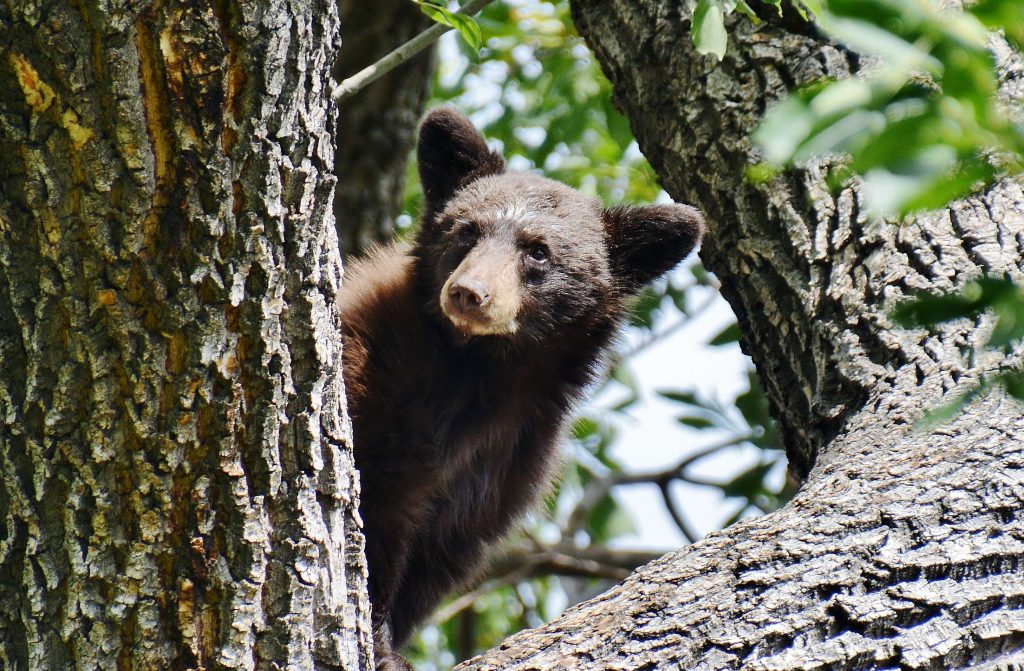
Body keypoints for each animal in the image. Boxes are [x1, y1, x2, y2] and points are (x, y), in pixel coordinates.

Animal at [339, 107, 703, 670]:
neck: (479, 372)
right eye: (466, 231)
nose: (469, 294)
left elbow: (440, 553)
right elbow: (379, 510)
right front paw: (380, 645)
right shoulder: (377, 382)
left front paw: (392, 641)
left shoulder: (510, 456)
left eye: (539, 252)